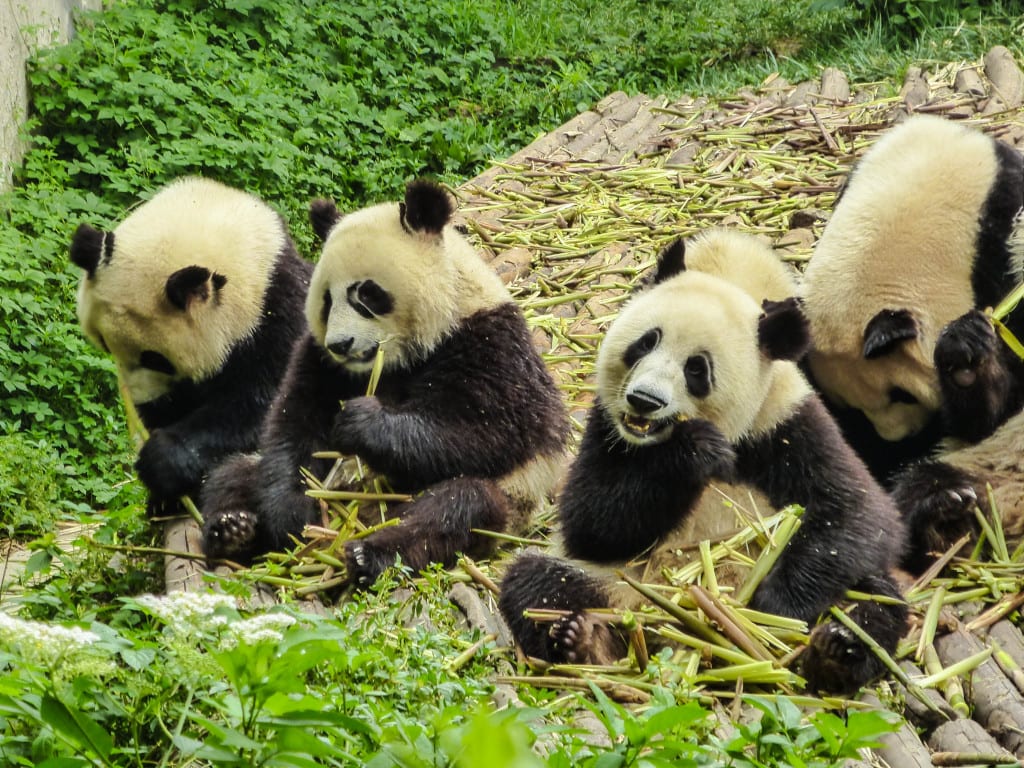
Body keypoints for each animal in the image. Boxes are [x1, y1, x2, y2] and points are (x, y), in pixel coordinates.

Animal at [71, 176, 311, 518]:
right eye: (104, 343)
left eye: (156, 359)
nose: (145, 399)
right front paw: (165, 494)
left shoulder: (277, 315)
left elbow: (265, 410)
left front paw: (162, 459)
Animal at [197, 180, 569, 585]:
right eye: (326, 300)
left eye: (366, 293)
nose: (341, 344)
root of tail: (363, 515)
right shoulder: (320, 360)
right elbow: (294, 427)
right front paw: (293, 516)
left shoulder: (489, 342)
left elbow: (485, 433)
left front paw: (361, 422)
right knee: (235, 473)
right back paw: (231, 528)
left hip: (507, 501)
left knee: (455, 509)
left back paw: (370, 553)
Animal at [798, 115, 1024, 573]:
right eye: (854, 410)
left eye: (900, 395)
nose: (897, 442)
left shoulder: (1000, 241)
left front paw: (966, 363)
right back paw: (941, 509)